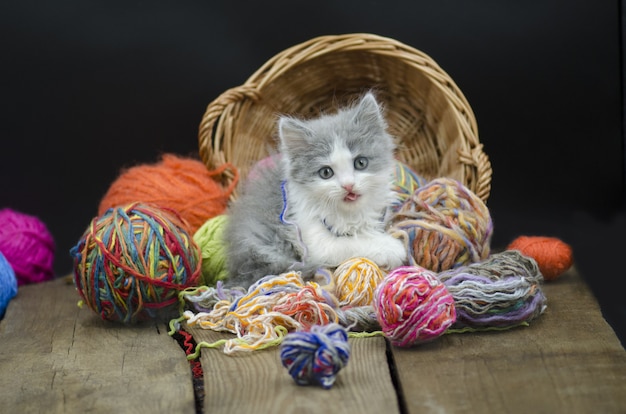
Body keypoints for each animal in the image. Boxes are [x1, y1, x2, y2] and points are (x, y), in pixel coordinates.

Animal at [222, 93, 408, 288]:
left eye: (361, 163)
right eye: (326, 172)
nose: (348, 185)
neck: (350, 213)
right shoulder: (313, 240)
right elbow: (351, 243)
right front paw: (392, 247)